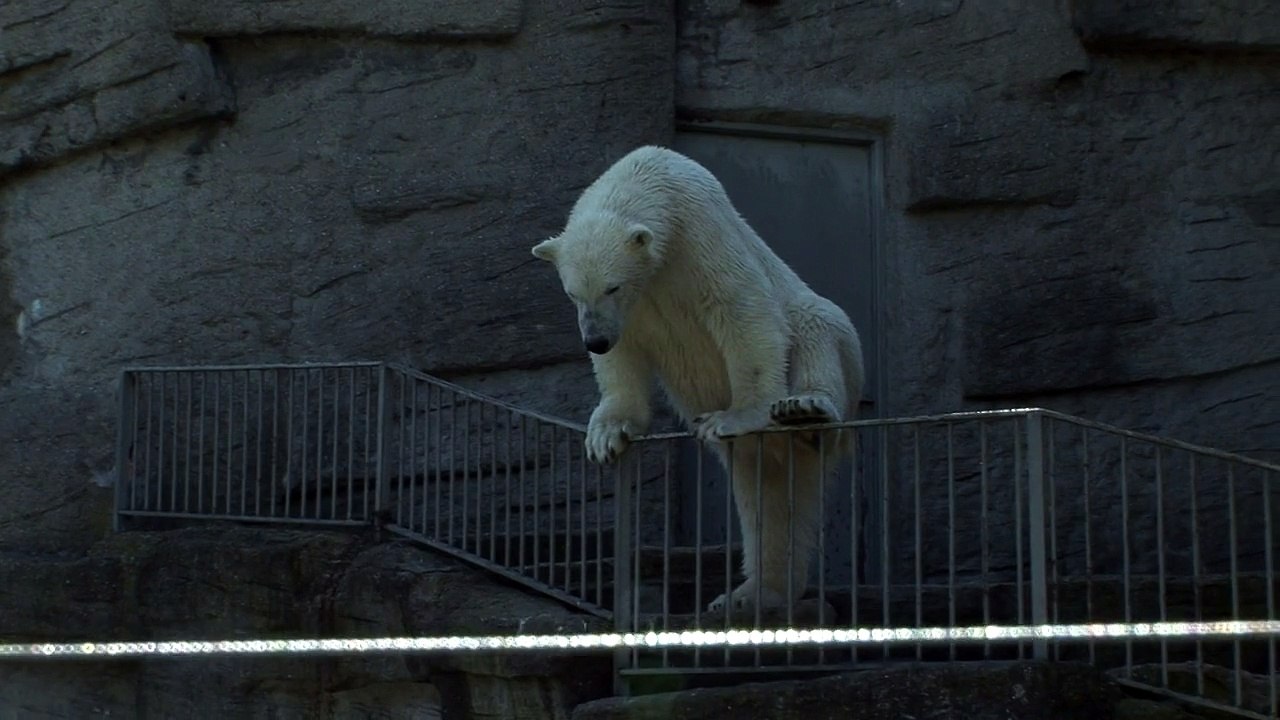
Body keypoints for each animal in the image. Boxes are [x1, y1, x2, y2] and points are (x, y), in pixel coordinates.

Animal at [530, 145, 865, 615]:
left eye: (612, 286)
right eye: (573, 293)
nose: (594, 339)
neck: (650, 178)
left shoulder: (699, 235)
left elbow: (743, 310)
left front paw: (734, 416)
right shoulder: (633, 308)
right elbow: (624, 355)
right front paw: (607, 433)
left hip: (831, 341)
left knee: (816, 325)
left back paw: (805, 411)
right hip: (756, 462)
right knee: (766, 498)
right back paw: (749, 594)